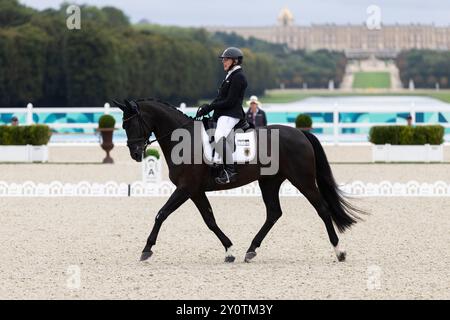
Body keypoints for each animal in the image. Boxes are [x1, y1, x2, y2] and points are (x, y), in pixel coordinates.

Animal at [114, 99, 364, 262]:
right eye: (123, 125)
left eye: (131, 124)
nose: (135, 153)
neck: (184, 140)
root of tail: (300, 133)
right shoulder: (195, 191)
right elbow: (210, 220)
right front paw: (229, 251)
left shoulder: (186, 188)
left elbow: (161, 214)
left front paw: (146, 249)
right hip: (269, 182)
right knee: (274, 213)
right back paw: (251, 250)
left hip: (302, 180)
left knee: (322, 209)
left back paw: (339, 251)